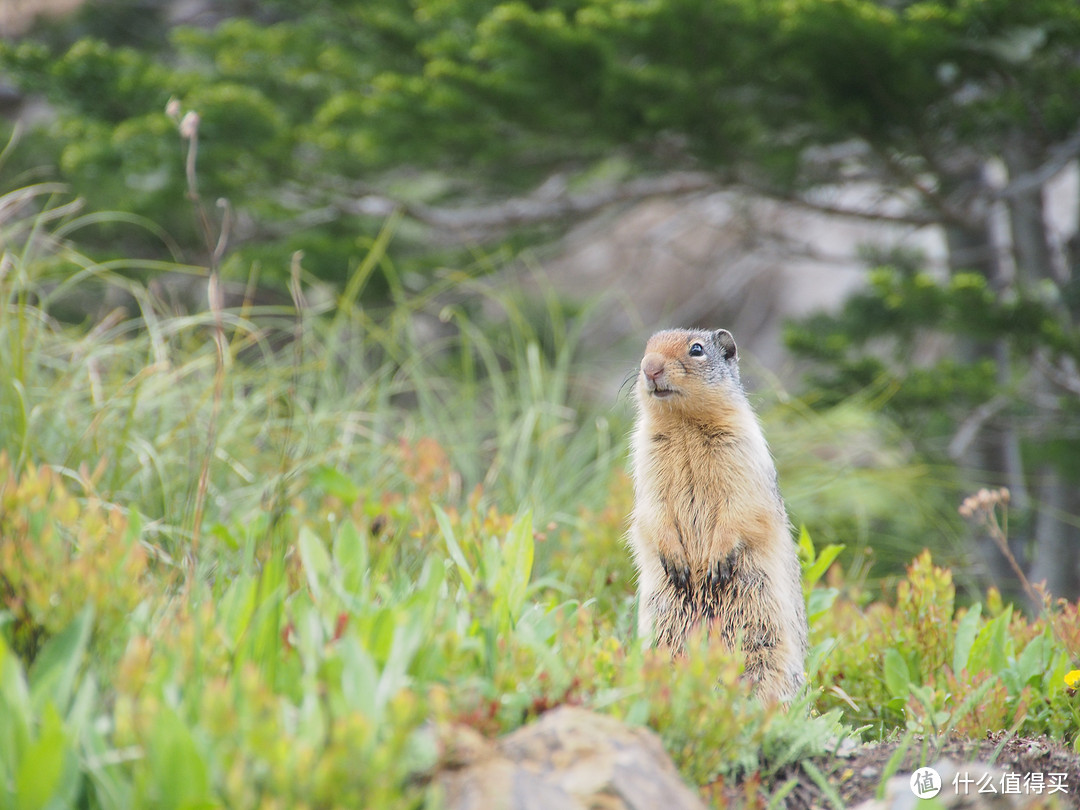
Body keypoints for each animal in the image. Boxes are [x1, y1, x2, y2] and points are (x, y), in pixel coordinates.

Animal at [630, 326, 807, 699]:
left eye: (696, 349)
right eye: (647, 347)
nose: (650, 368)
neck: (683, 423)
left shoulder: (742, 448)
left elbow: (741, 505)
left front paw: (717, 560)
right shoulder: (645, 456)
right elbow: (651, 510)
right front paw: (676, 561)